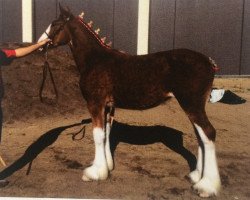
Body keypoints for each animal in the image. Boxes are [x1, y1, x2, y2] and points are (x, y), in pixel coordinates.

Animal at [41, 5, 221, 198]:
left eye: (55, 24)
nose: (40, 45)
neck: (95, 59)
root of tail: (209, 62)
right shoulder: (108, 107)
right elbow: (106, 133)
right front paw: (107, 167)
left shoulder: (95, 104)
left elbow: (98, 135)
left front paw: (94, 173)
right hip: (194, 107)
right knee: (200, 137)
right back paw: (196, 176)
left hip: (192, 105)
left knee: (208, 133)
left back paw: (206, 186)